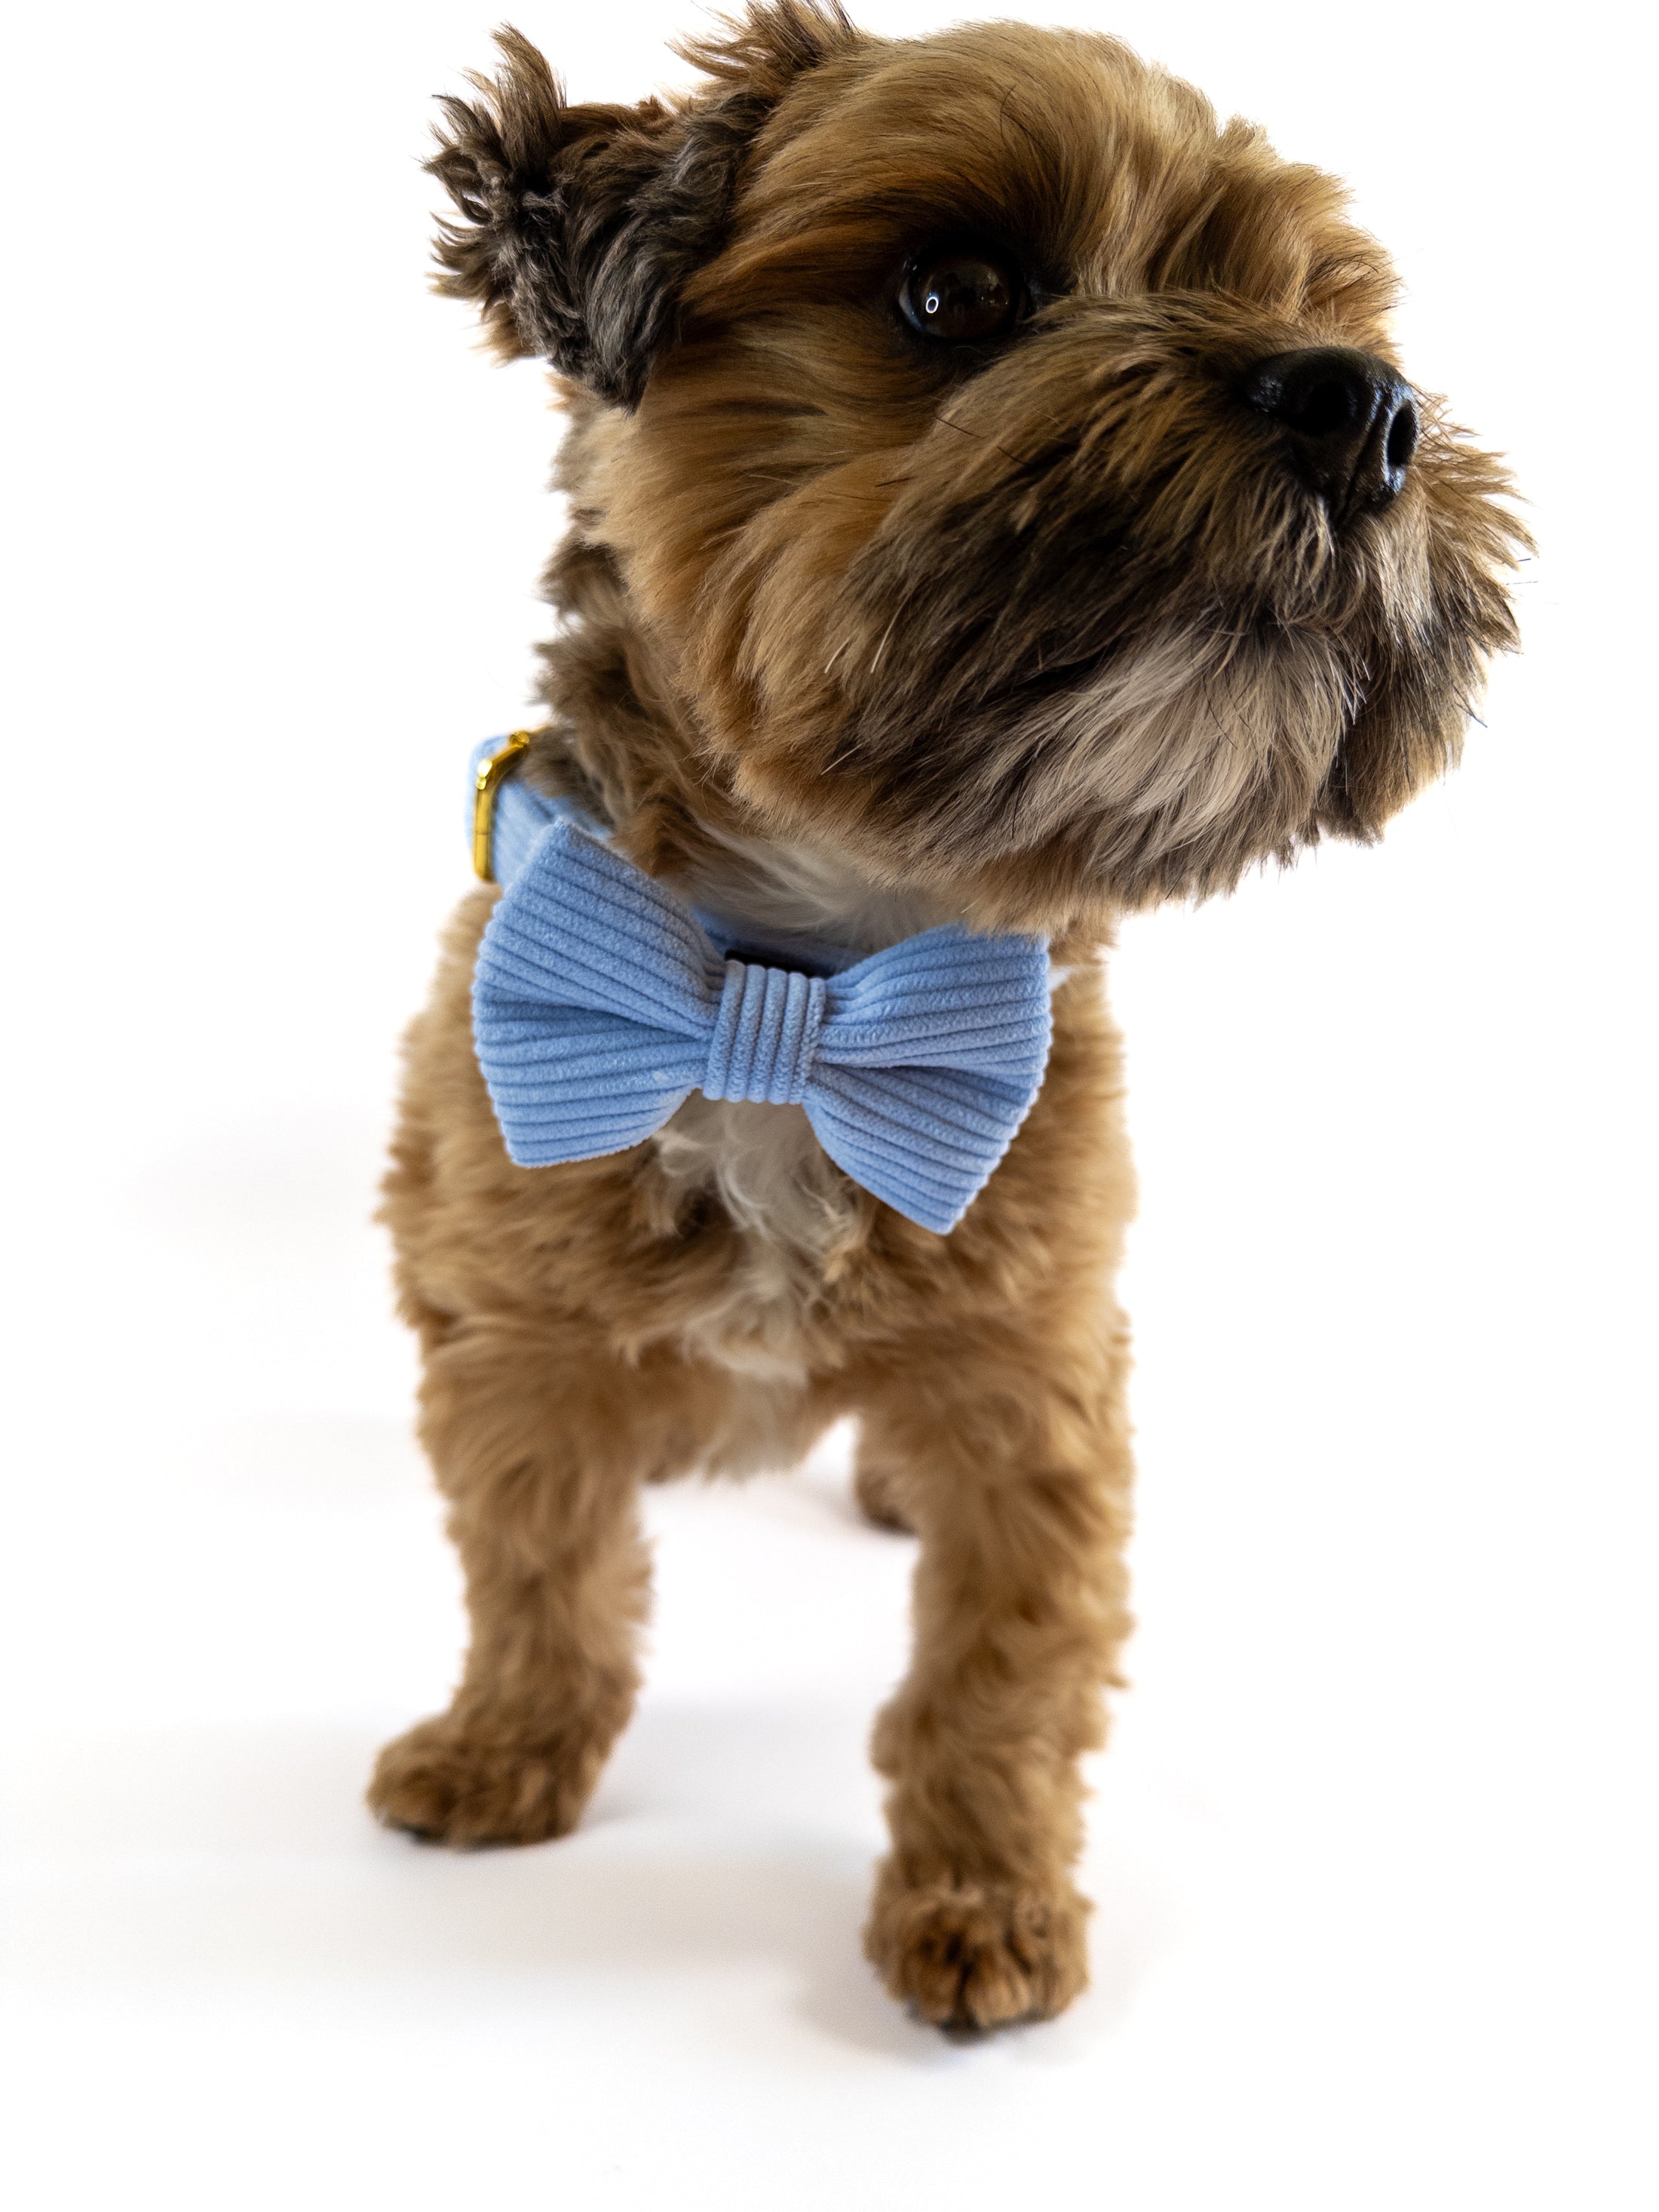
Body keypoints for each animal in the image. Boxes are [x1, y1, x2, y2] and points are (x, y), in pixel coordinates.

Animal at [369, 0, 1530, 2026]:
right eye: (953, 290)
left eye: (1325, 306)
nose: (1363, 409)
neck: (795, 987)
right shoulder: (509, 1340)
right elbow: (539, 1572)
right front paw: (507, 1749)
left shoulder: (1033, 1385)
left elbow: (998, 1673)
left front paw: (981, 1905)